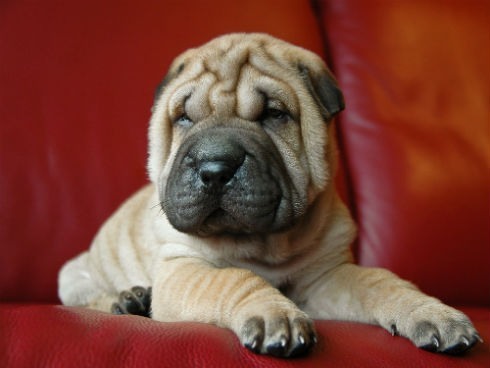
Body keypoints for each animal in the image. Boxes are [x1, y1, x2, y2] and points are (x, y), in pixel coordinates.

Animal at [59, 33, 480, 356]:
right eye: (184, 118)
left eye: (273, 115)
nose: (215, 167)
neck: (263, 245)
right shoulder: (183, 268)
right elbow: (232, 278)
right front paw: (274, 313)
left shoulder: (327, 276)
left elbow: (378, 280)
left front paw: (433, 312)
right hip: (74, 273)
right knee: (87, 297)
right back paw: (126, 299)